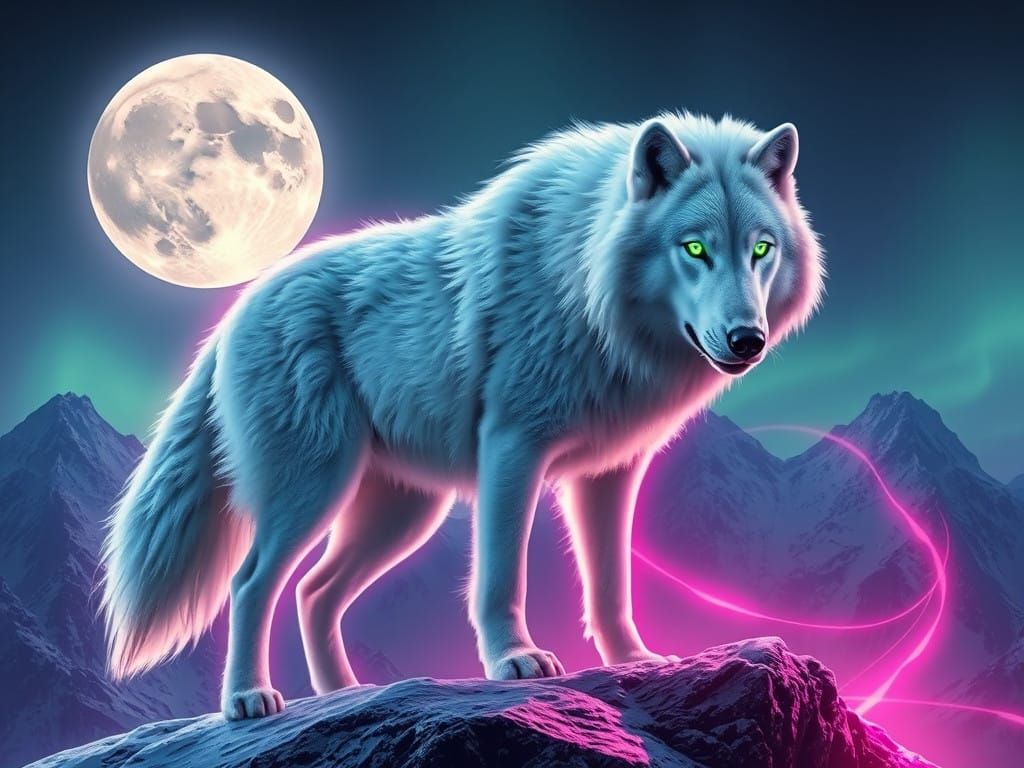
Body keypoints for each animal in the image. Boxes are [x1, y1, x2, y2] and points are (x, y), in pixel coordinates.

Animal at [101, 112, 824, 720]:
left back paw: (345, 695)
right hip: (313, 489)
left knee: (313, 592)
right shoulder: (512, 447)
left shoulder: (609, 475)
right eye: (695, 249)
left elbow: (611, 585)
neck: (583, 286)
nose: (747, 340)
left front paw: (635, 661)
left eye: (761, 250)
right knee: (252, 583)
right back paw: (249, 700)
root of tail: (232, 312)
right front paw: (514, 661)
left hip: (401, 514)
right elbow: (501, 573)